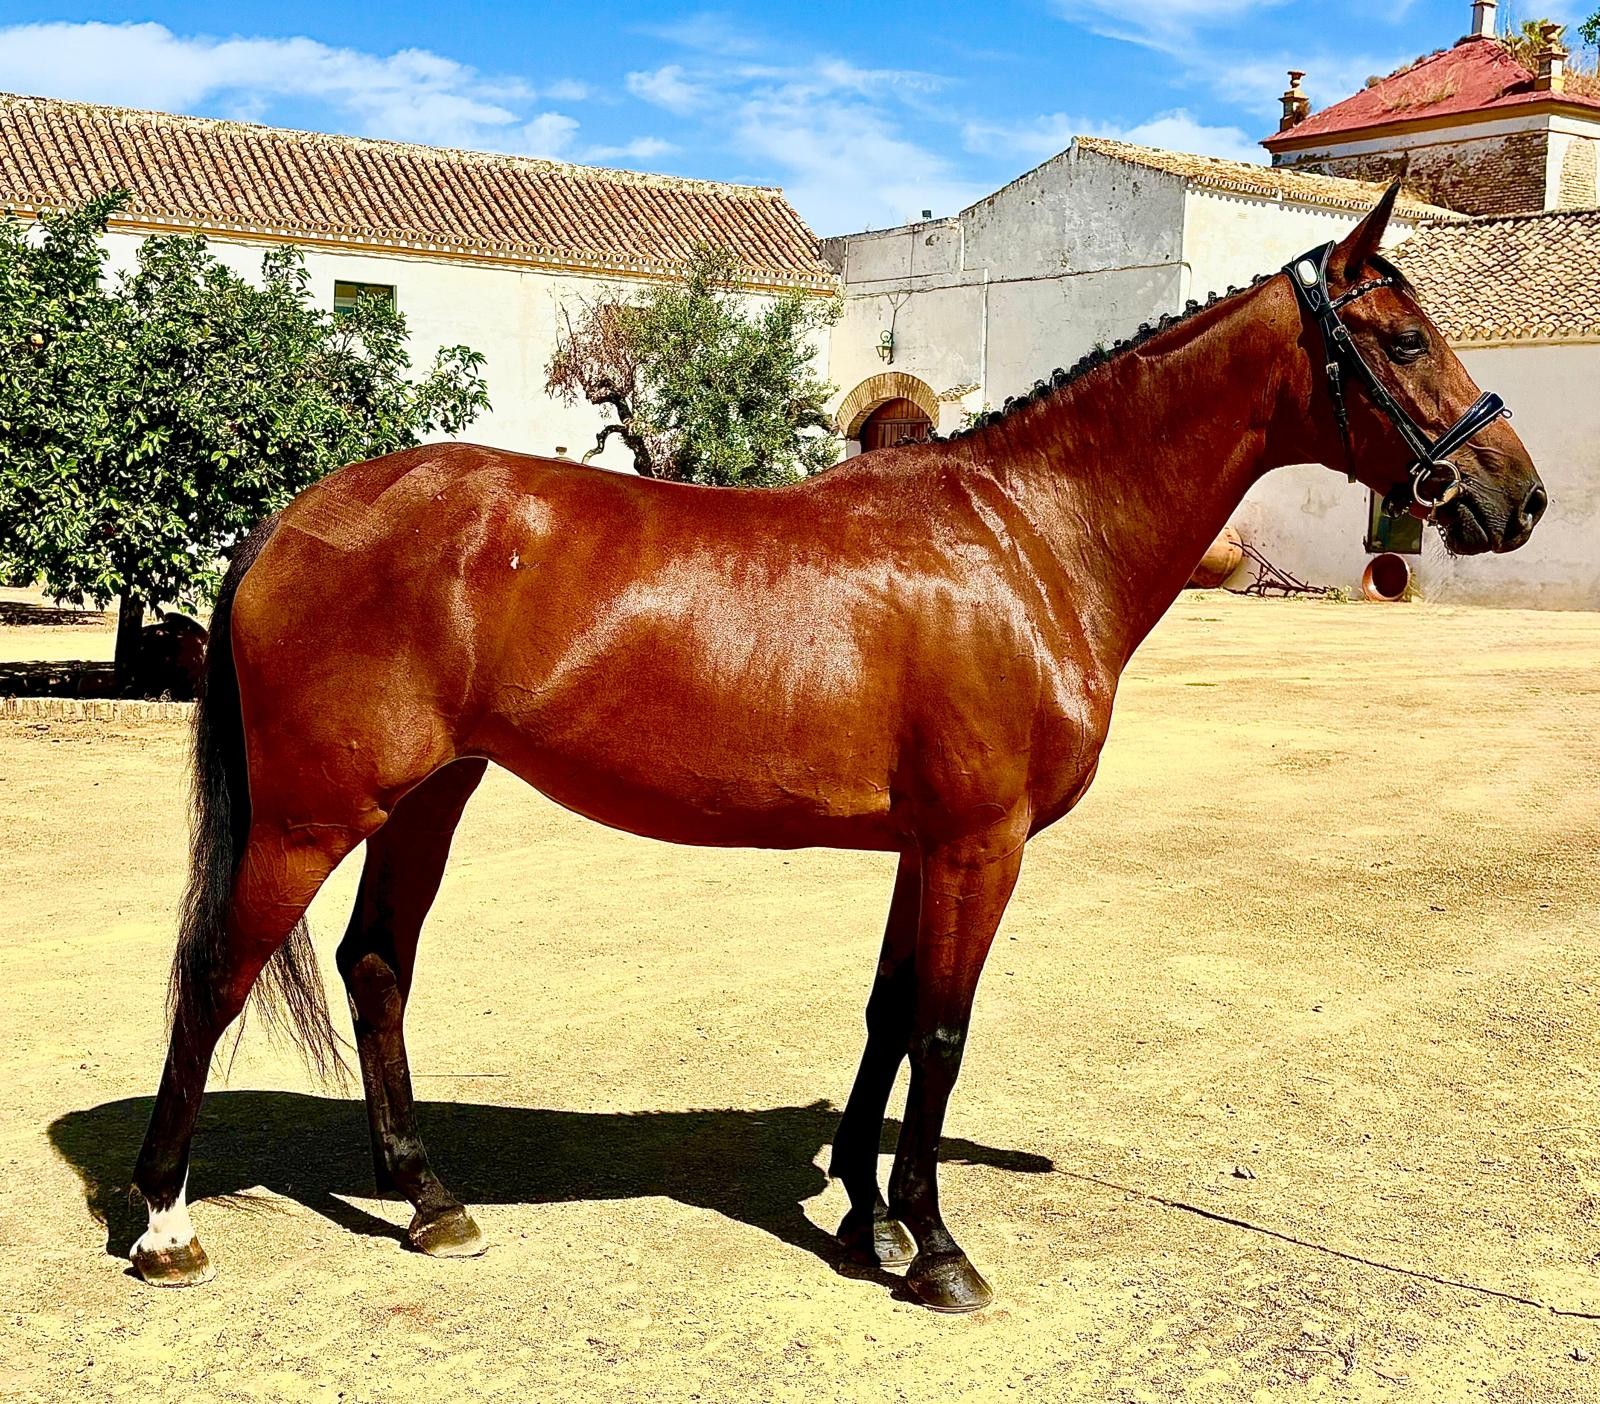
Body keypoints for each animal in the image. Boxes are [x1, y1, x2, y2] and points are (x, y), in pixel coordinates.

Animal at [129, 186, 1546, 1312]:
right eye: (1405, 337)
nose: (1517, 497)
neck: (1026, 535)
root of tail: (296, 514)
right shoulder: (980, 844)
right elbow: (943, 1032)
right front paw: (938, 1250)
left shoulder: (927, 845)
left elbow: (885, 1013)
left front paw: (865, 1216)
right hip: (313, 814)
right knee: (214, 977)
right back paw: (166, 1226)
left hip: (428, 795)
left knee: (375, 966)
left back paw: (429, 1201)